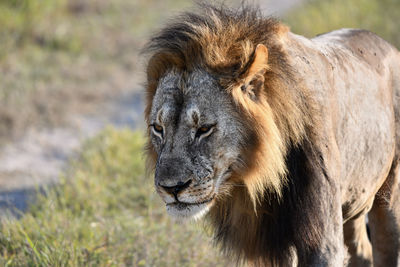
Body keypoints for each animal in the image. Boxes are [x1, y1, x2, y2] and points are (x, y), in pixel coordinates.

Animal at [144, 4, 400, 267]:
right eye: (158, 128)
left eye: (204, 129)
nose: (171, 188)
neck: (260, 177)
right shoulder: (274, 244)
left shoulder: (322, 241)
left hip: (388, 198)